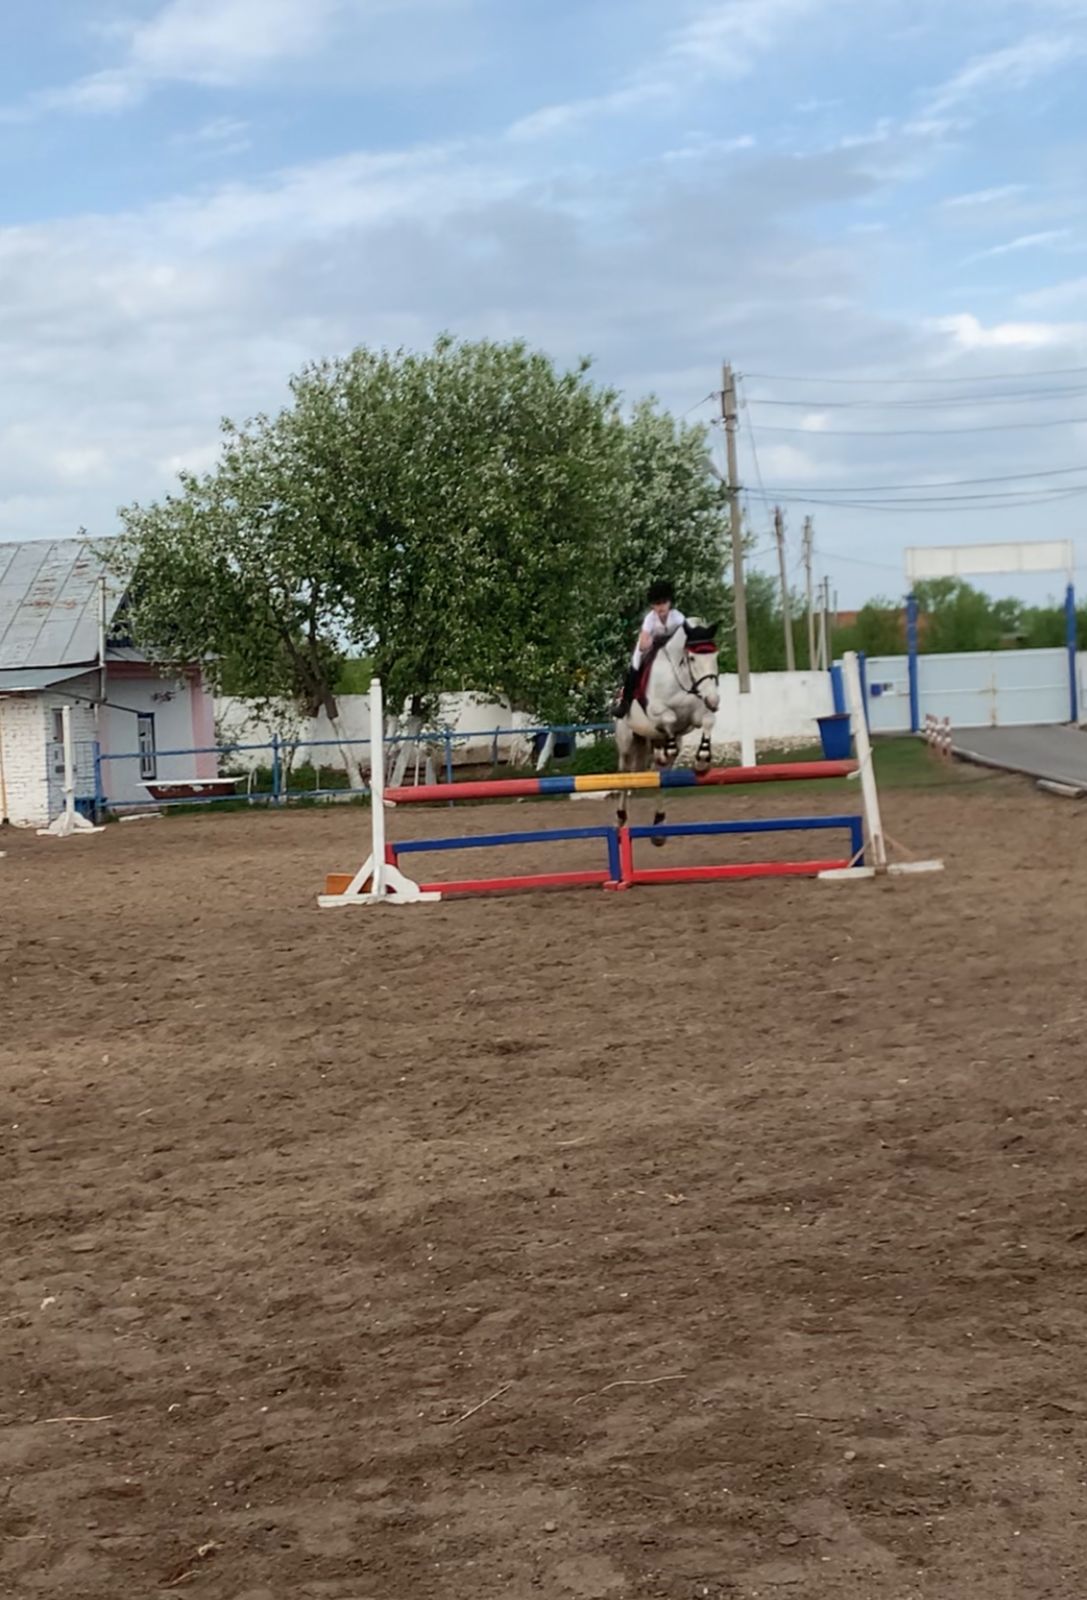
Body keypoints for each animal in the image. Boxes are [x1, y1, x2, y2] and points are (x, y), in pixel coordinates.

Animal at [614, 620, 721, 843]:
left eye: (715, 655)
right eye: (692, 657)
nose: (714, 700)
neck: (681, 678)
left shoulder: (696, 715)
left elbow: (708, 721)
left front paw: (702, 760)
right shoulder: (656, 711)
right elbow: (669, 717)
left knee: (660, 775)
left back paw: (658, 827)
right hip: (626, 744)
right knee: (625, 776)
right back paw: (620, 819)